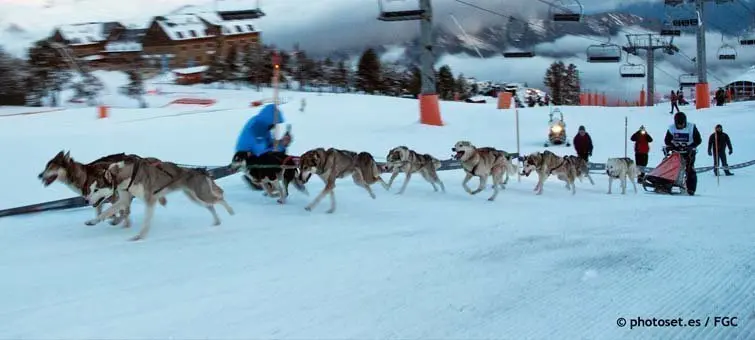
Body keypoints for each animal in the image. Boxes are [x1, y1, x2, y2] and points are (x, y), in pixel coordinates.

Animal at [82, 158, 233, 240]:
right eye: (91, 188)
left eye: (96, 189)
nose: (86, 200)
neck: (127, 174)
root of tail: (200, 171)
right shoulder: (124, 199)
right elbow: (105, 213)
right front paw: (92, 221)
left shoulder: (150, 200)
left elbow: (146, 221)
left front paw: (140, 236)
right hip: (195, 198)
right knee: (211, 206)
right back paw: (217, 222)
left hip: (202, 195)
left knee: (220, 199)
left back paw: (231, 212)